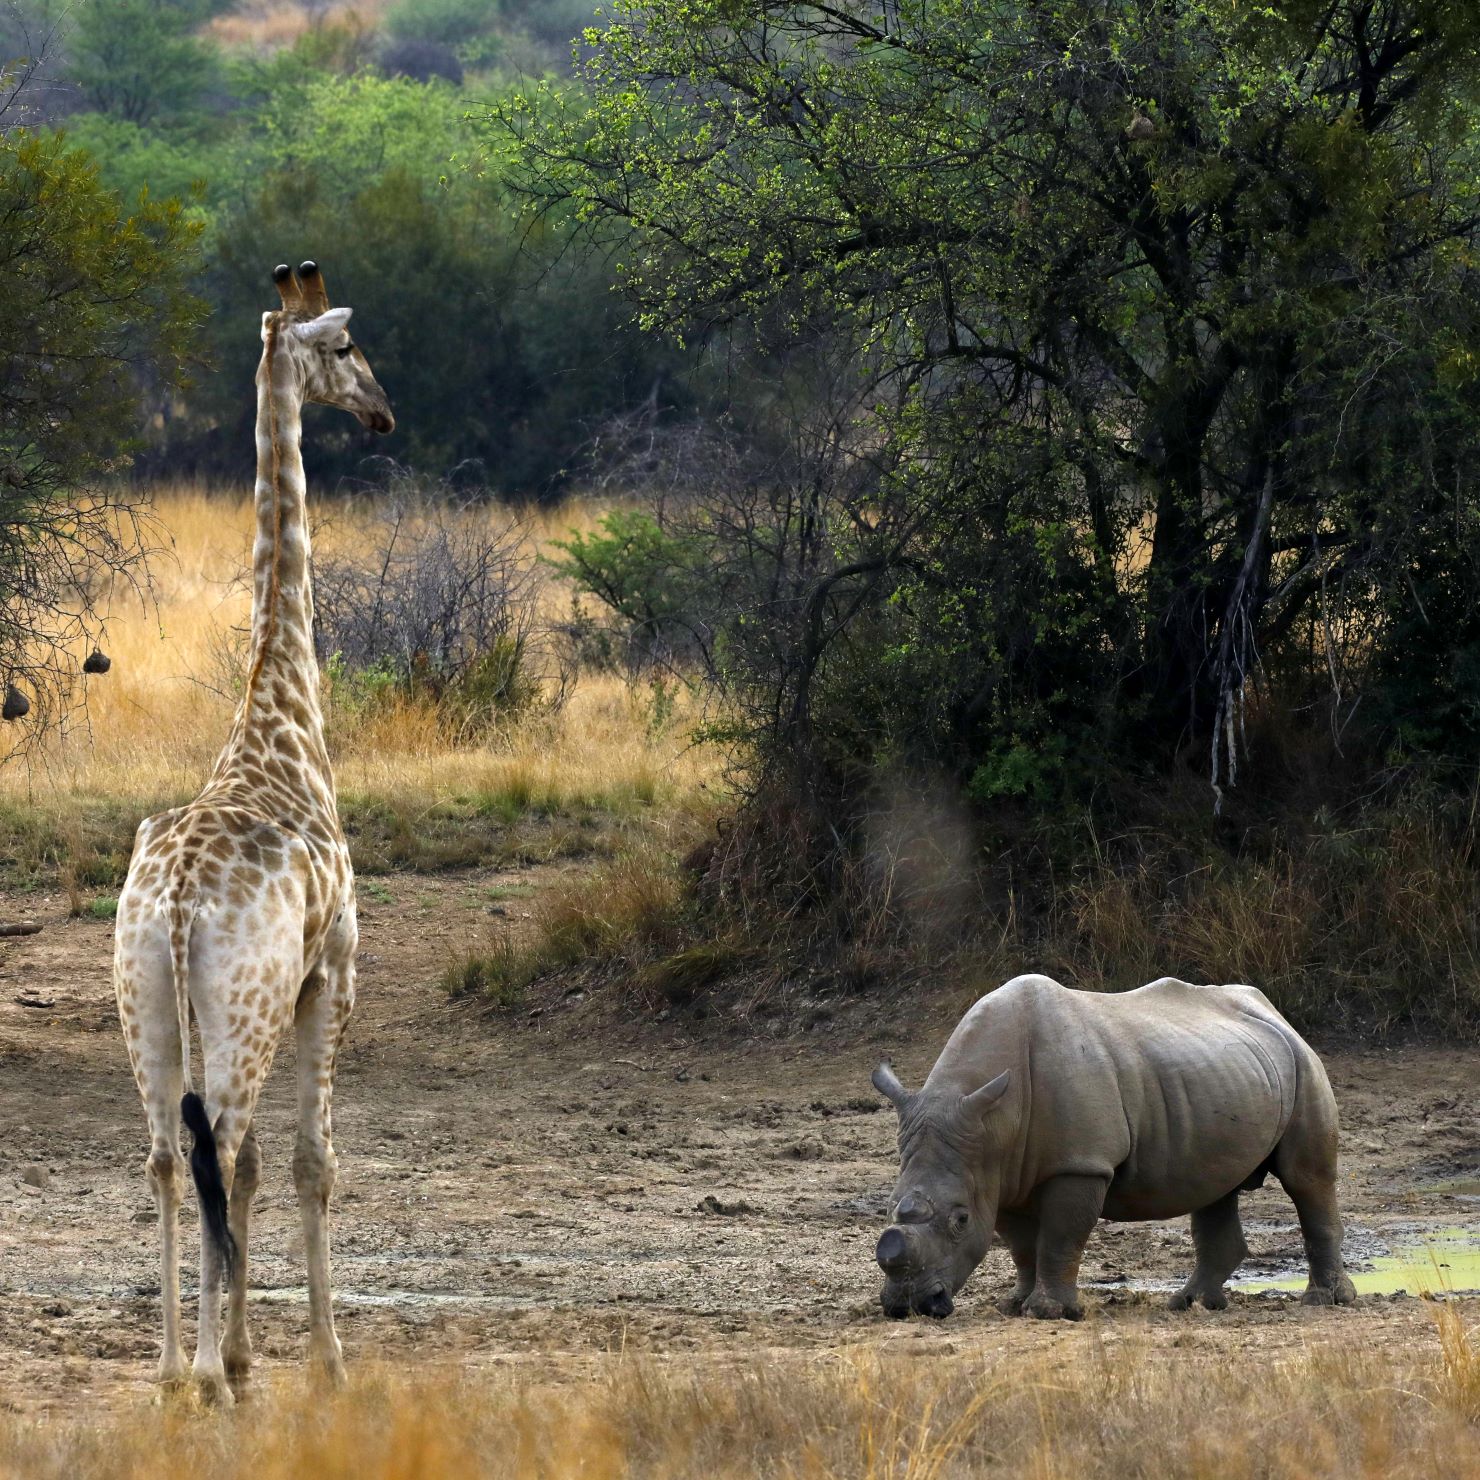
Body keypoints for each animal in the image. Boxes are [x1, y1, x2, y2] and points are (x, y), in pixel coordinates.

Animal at [871, 974, 1357, 1319]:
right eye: (889, 1208)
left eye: (959, 1220)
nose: (910, 1305)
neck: (992, 1128)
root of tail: (1275, 1012)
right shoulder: (999, 1174)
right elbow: (1020, 1244)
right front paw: (1014, 1305)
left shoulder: (1081, 1163)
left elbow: (1061, 1236)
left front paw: (1049, 1312)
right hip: (1230, 1072)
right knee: (1215, 1186)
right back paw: (1191, 1304)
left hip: (1303, 1061)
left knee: (1306, 1179)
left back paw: (1323, 1302)